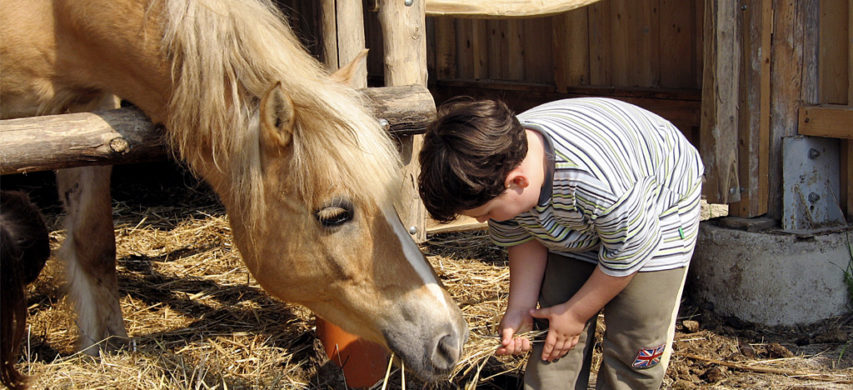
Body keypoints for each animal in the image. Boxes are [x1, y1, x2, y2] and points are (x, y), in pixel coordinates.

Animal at [0, 0, 466, 380]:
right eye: (334, 214)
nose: (451, 339)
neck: (56, 17)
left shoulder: (87, 106)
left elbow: (95, 243)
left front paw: (105, 347)